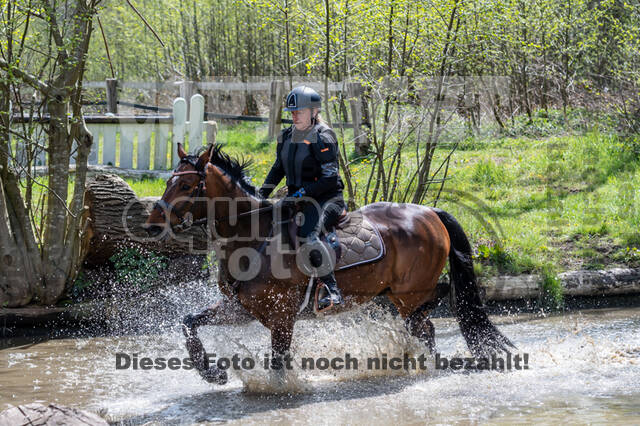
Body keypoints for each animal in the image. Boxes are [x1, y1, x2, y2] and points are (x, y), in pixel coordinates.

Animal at [145, 142, 516, 382]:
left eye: (187, 184)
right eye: (168, 181)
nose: (152, 223)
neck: (252, 237)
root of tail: (430, 212)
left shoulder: (282, 317)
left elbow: (278, 362)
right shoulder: (238, 309)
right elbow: (188, 322)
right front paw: (211, 372)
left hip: (409, 295)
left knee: (433, 310)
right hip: (398, 296)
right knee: (427, 327)